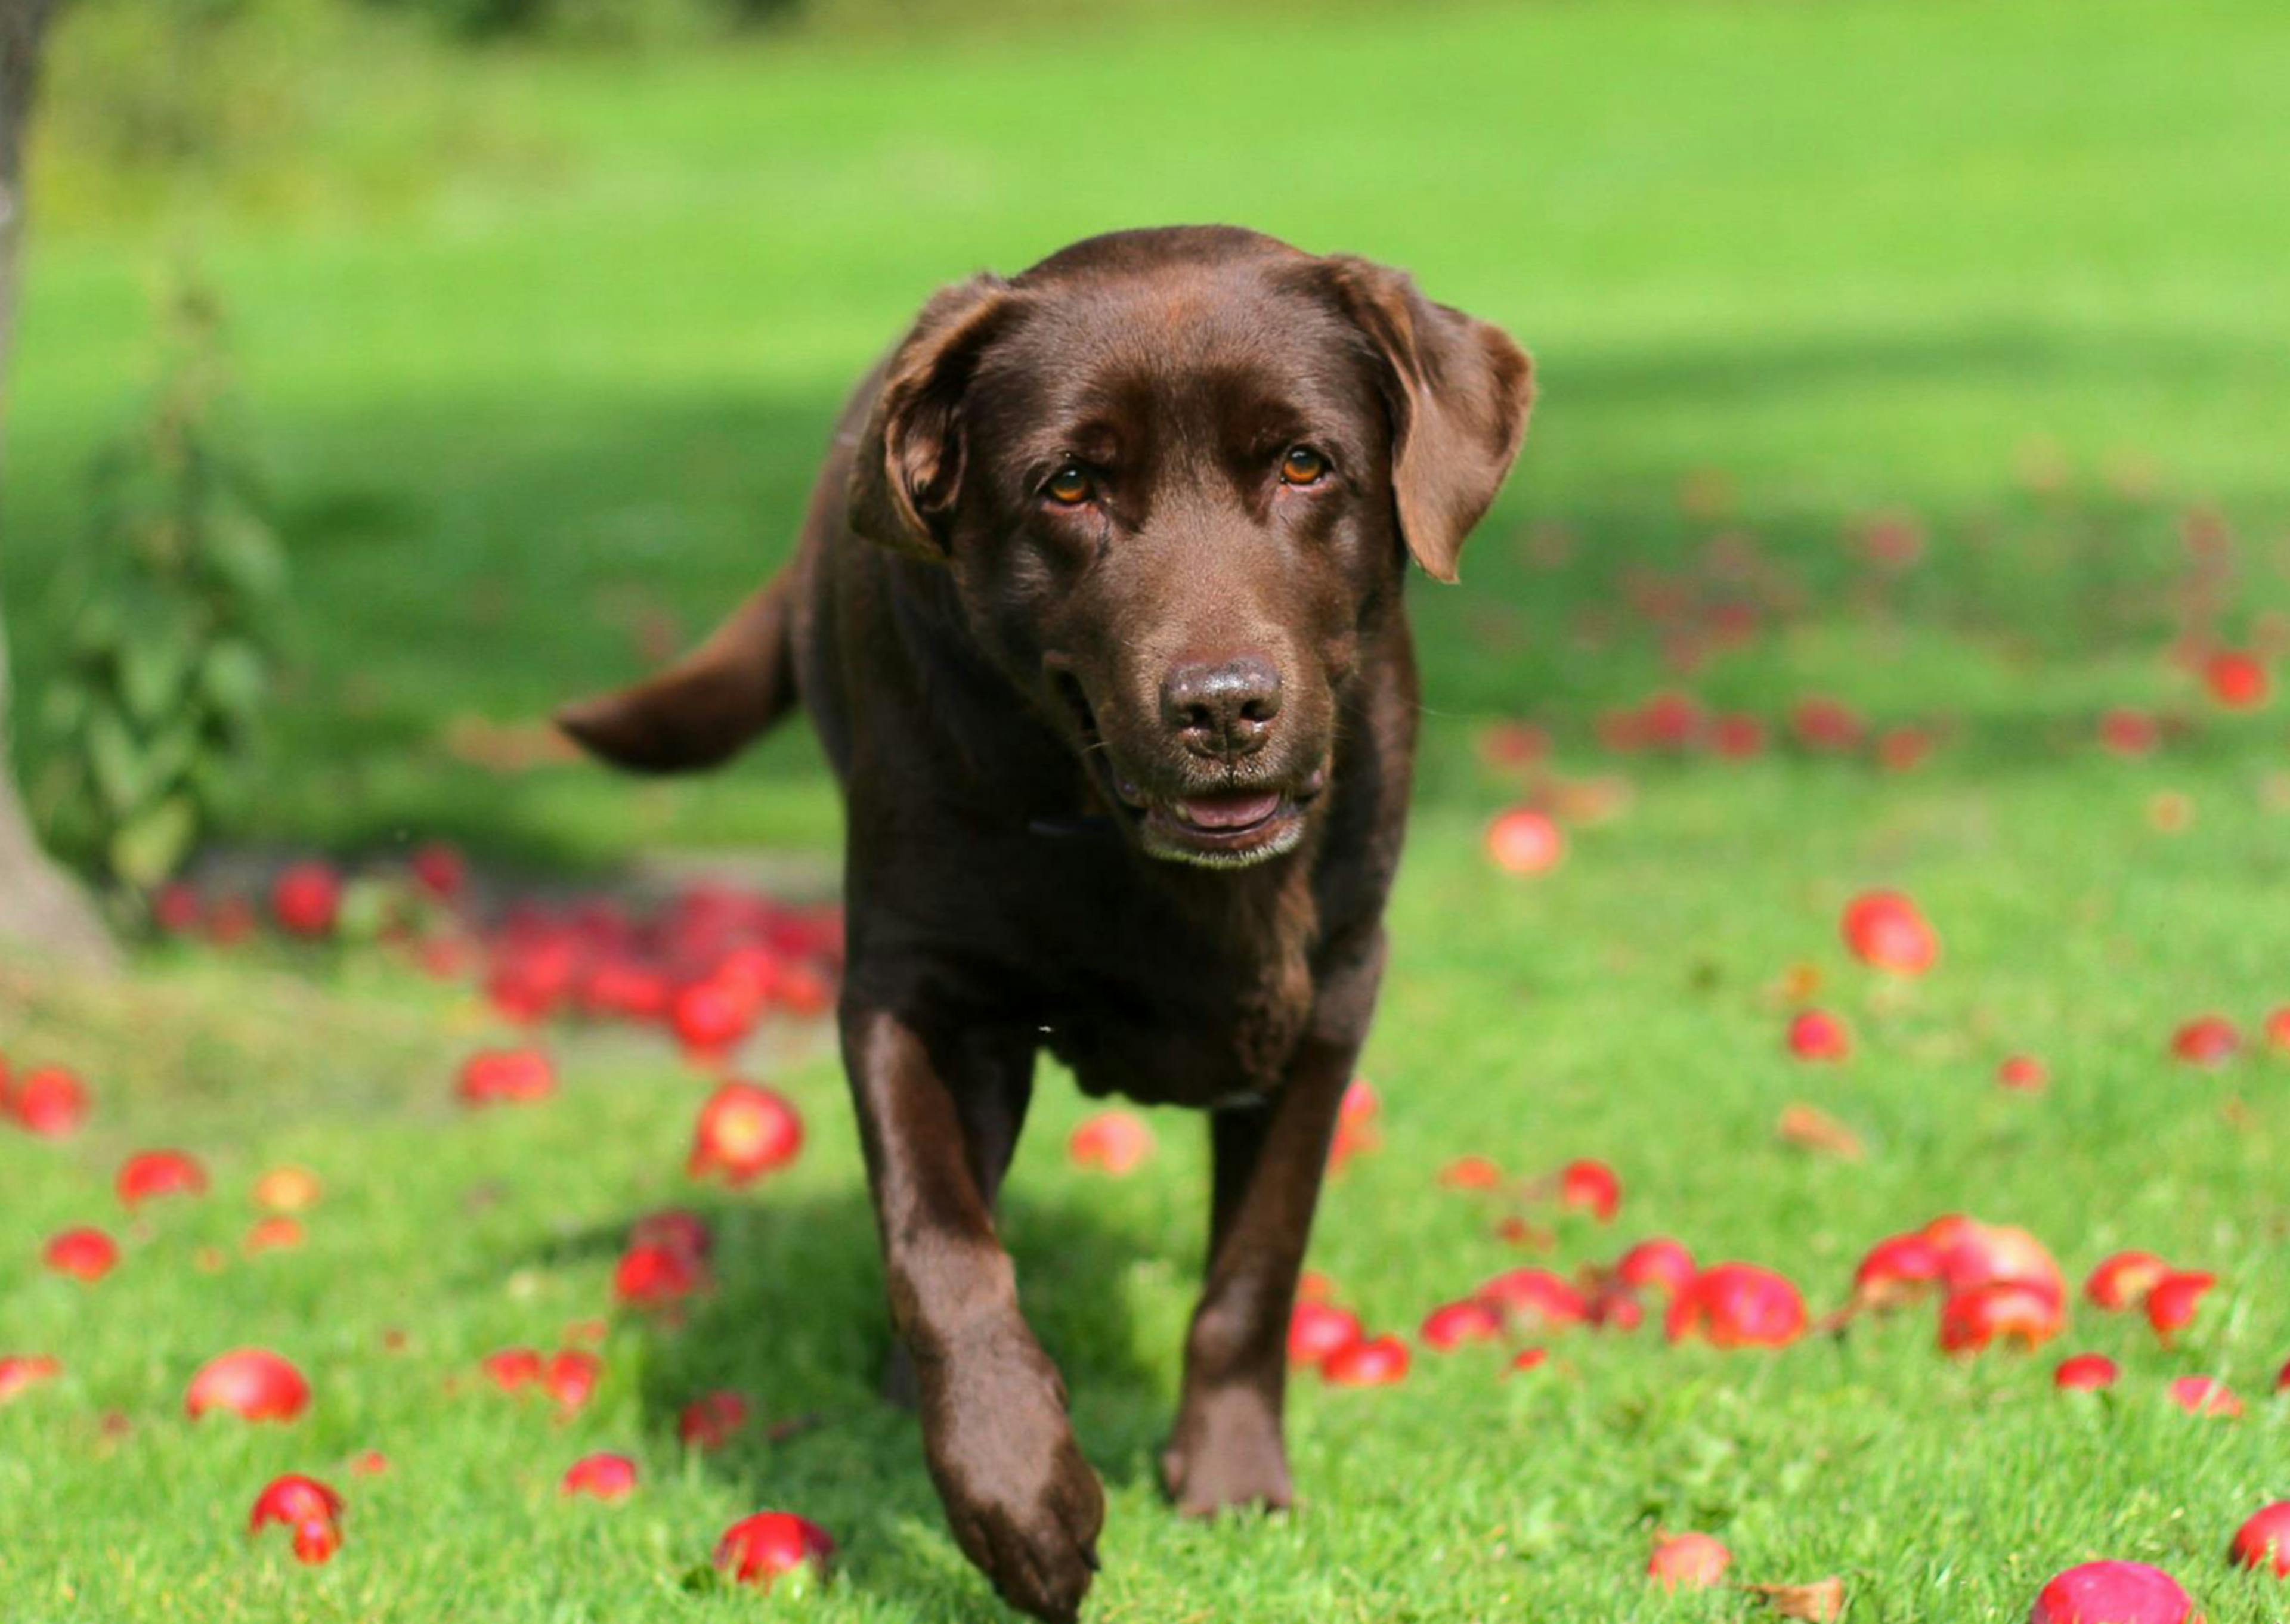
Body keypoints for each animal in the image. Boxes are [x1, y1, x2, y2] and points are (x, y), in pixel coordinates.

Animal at [552, 228, 1520, 1622]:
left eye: (1304, 463)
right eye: (1068, 486)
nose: (1222, 705)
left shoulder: (1333, 995)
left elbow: (1257, 1265)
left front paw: (1232, 1481)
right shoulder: (911, 993)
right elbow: (943, 1248)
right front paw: (1019, 1495)